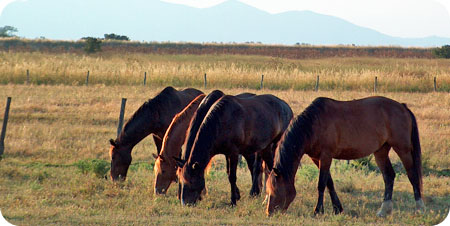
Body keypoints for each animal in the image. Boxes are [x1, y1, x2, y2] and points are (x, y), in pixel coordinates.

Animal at [268, 96, 426, 217]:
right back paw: (384, 211)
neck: (313, 124)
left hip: (403, 149)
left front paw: (318, 210)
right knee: (389, 176)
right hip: (381, 152)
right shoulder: (317, 158)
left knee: (412, 175)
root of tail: (402, 107)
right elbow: (329, 183)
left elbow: (321, 184)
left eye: (275, 191)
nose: (269, 213)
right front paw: (337, 208)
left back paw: (419, 208)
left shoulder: (326, 156)